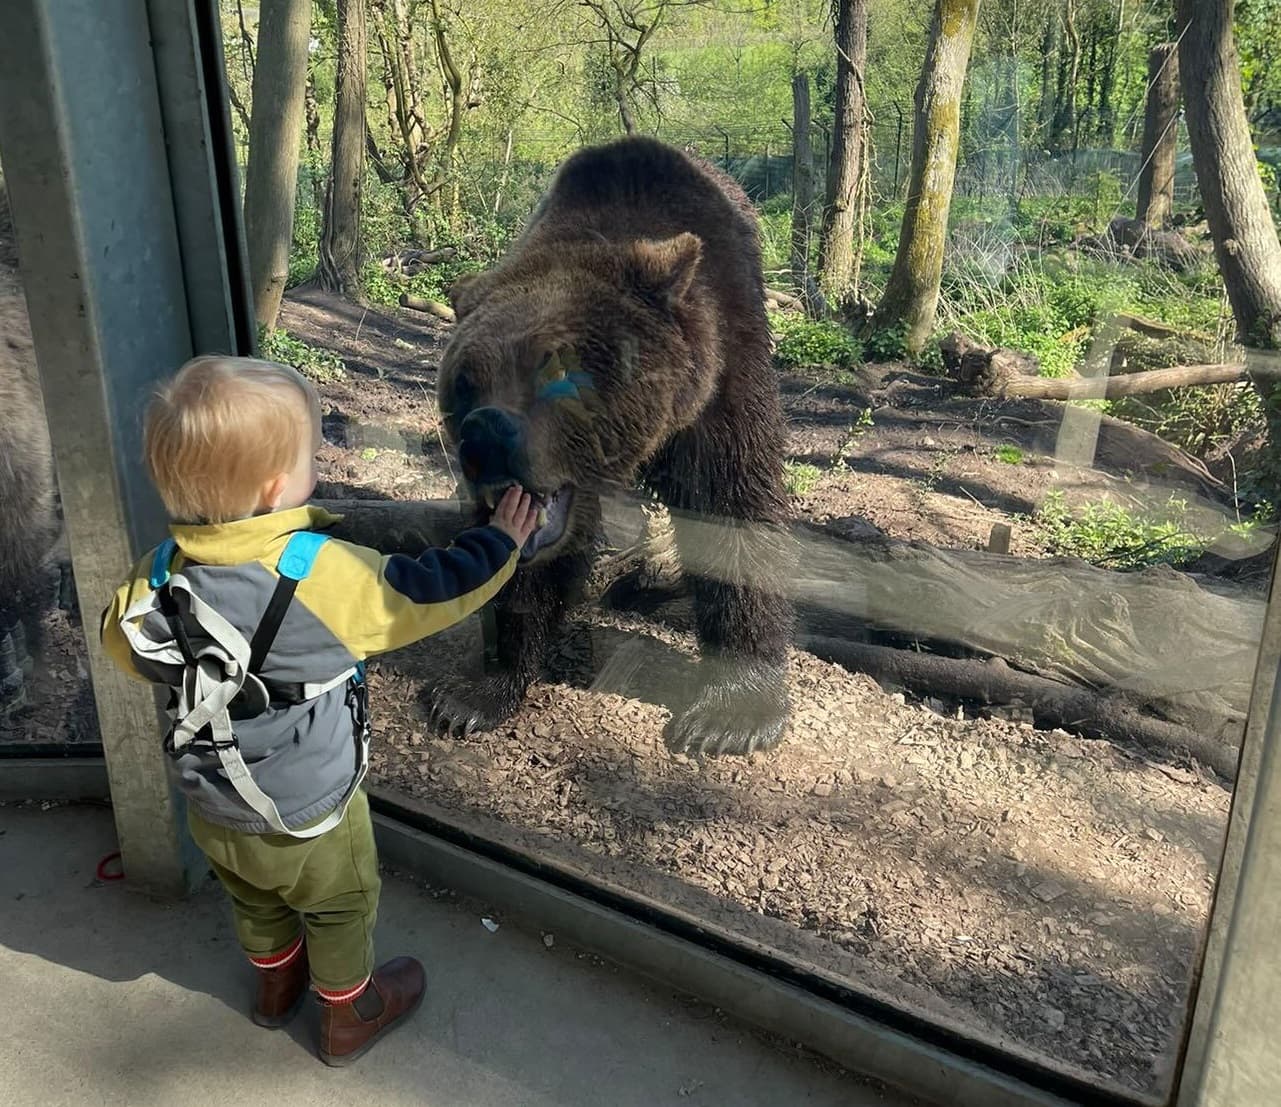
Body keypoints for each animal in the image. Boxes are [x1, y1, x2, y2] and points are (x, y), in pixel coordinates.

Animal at [429, 135, 795, 756]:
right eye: (465, 381)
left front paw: (731, 714)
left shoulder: (724, 374)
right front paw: (473, 693)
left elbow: (732, 501)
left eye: (555, 371)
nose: (485, 438)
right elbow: (519, 565)